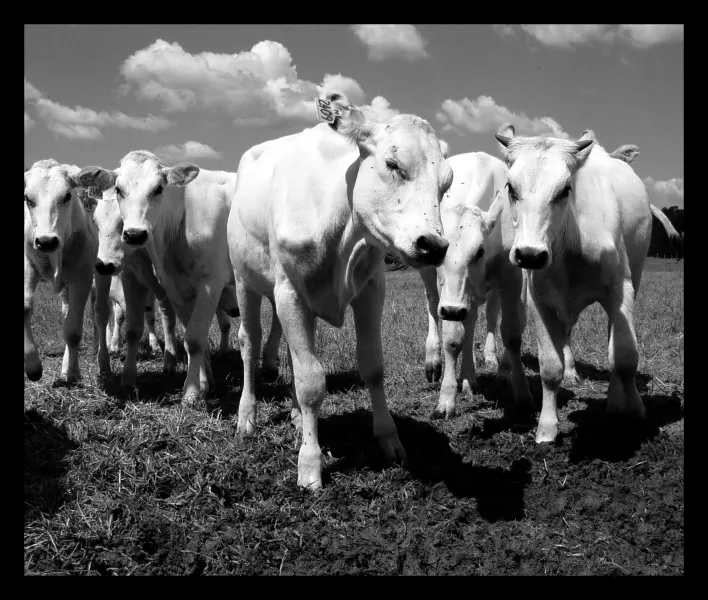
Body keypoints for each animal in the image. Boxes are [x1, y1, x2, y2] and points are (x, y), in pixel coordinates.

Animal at [24, 160, 98, 383]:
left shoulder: (83, 276)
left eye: (66, 196)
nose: (46, 241)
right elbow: (25, 306)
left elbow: (73, 330)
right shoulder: (27, 265)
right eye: (27, 198)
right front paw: (32, 365)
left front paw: (72, 372)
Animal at [76, 157, 283, 401]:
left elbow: (194, 338)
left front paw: (191, 392)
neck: (179, 224)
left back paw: (270, 363)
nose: (134, 235)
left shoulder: (210, 284)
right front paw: (203, 381)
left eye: (158, 188)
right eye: (119, 189)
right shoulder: (164, 285)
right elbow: (181, 334)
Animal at [228, 91, 452, 490]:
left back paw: (297, 417)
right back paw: (247, 417)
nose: (434, 246)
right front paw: (310, 464)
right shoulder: (289, 293)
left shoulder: (371, 289)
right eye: (393, 164)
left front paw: (389, 439)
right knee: (250, 344)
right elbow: (311, 381)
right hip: (245, 281)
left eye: (447, 183)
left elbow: (372, 366)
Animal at [494, 124, 682, 442]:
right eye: (511, 188)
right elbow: (549, 367)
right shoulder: (539, 298)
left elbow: (624, 356)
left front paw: (635, 411)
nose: (530, 254)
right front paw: (547, 428)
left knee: (613, 345)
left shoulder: (621, 289)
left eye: (565, 189)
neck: (571, 242)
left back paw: (617, 400)